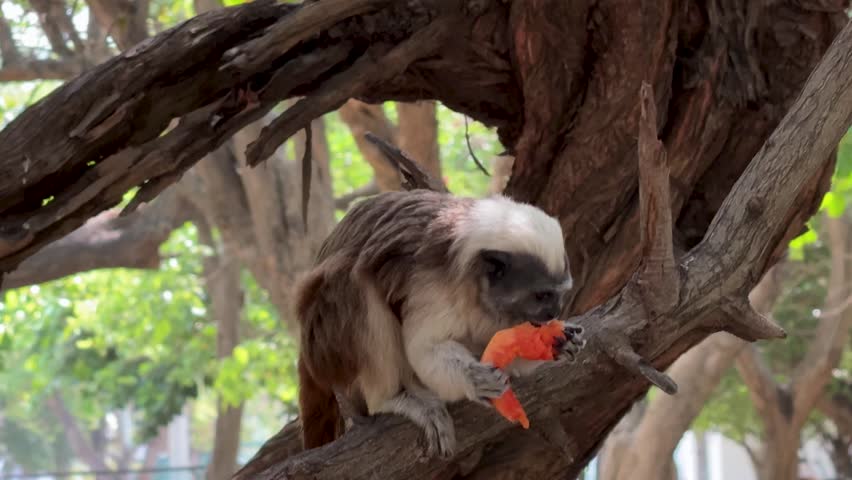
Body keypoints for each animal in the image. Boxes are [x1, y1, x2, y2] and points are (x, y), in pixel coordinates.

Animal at [294, 189, 585, 458]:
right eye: (542, 296)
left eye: (560, 295)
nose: (553, 312)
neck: (473, 284)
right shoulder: (432, 285)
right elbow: (424, 349)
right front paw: (473, 379)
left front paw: (559, 343)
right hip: (325, 343)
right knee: (351, 279)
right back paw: (391, 398)